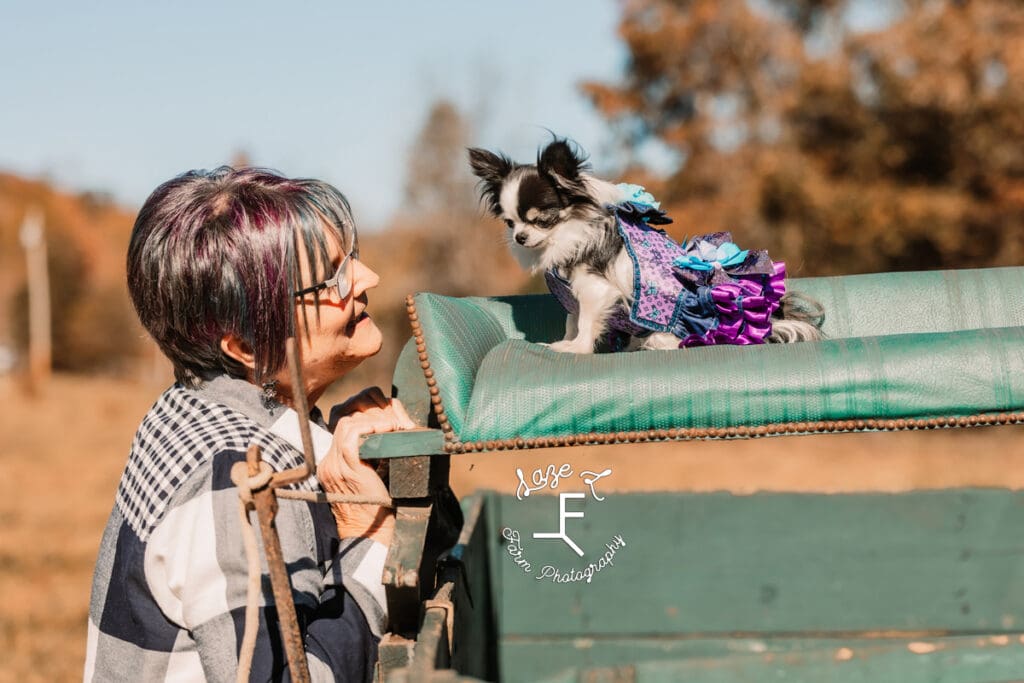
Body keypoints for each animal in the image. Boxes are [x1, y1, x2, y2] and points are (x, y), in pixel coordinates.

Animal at [468, 137, 823, 356]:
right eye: (510, 222)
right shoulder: (574, 294)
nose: (520, 237)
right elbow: (571, 319)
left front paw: (575, 348)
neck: (565, 235)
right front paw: (564, 341)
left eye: (542, 220)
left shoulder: (595, 289)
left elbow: (585, 321)